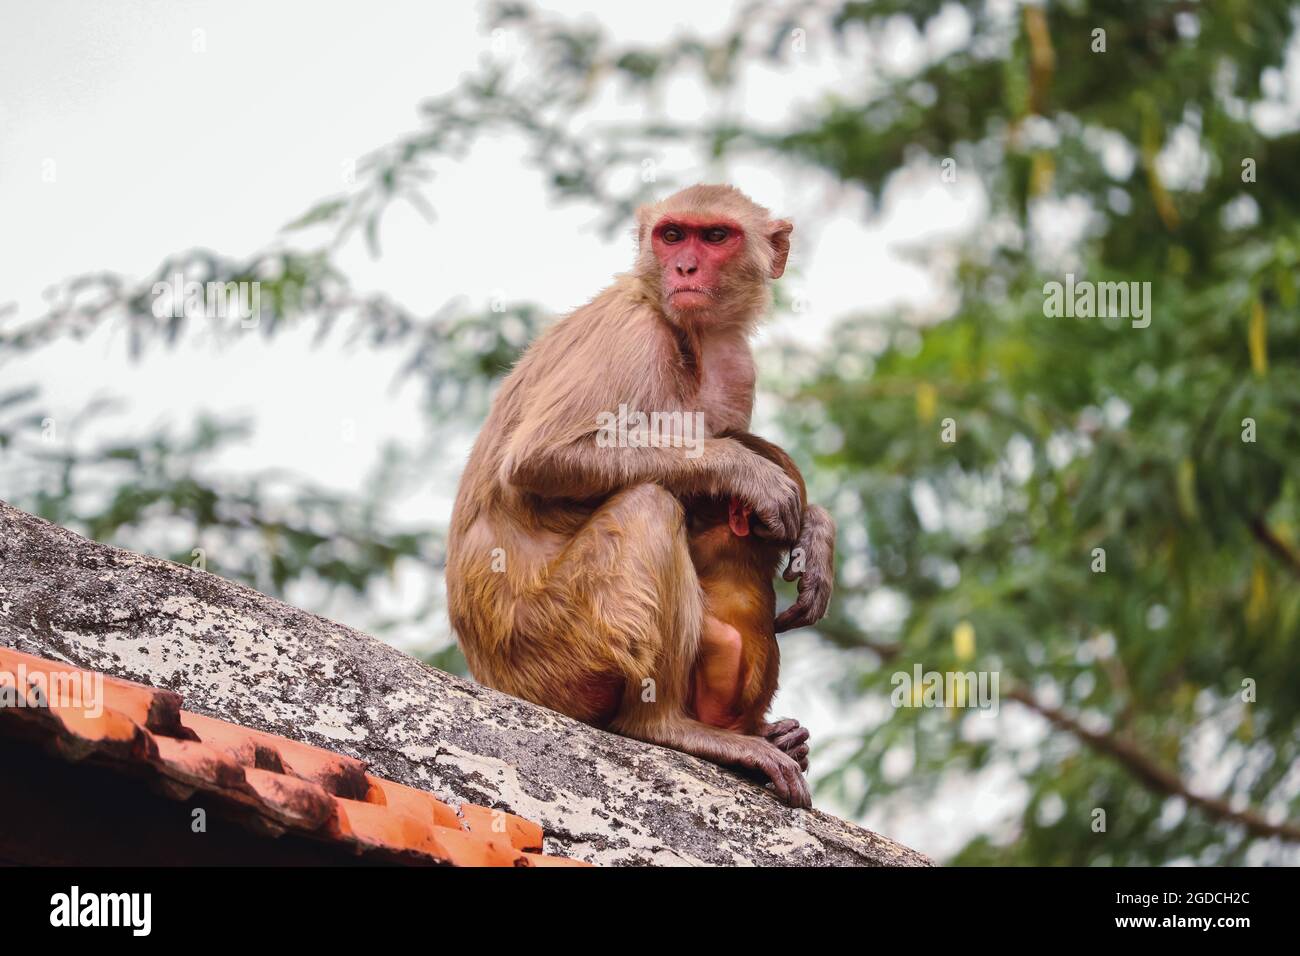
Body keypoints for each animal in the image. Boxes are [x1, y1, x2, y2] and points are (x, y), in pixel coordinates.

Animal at [444, 180, 832, 806]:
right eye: (672, 234)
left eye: (715, 236)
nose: (684, 267)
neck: (688, 334)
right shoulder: (632, 334)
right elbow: (540, 458)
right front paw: (747, 472)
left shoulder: (738, 366)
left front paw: (817, 532)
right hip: (555, 650)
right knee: (648, 505)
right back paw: (666, 726)